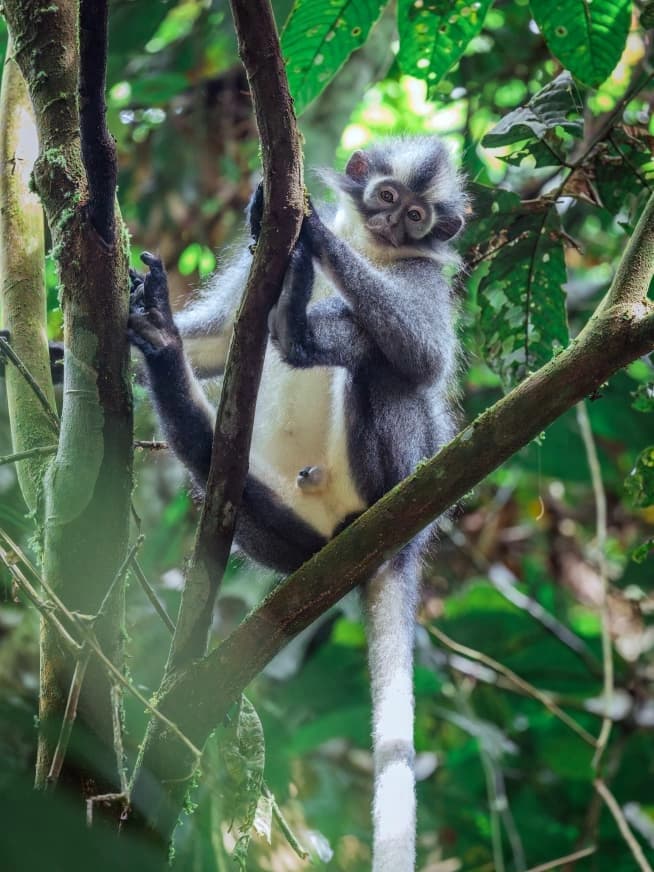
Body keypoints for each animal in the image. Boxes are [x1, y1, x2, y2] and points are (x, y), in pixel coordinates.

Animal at [126, 135, 466, 872]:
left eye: (419, 218)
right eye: (387, 197)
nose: (393, 223)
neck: (372, 251)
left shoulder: (425, 274)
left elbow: (424, 358)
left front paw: (307, 233)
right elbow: (219, 340)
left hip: (408, 469)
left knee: (382, 363)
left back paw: (304, 331)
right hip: (283, 527)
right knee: (208, 454)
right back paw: (169, 348)